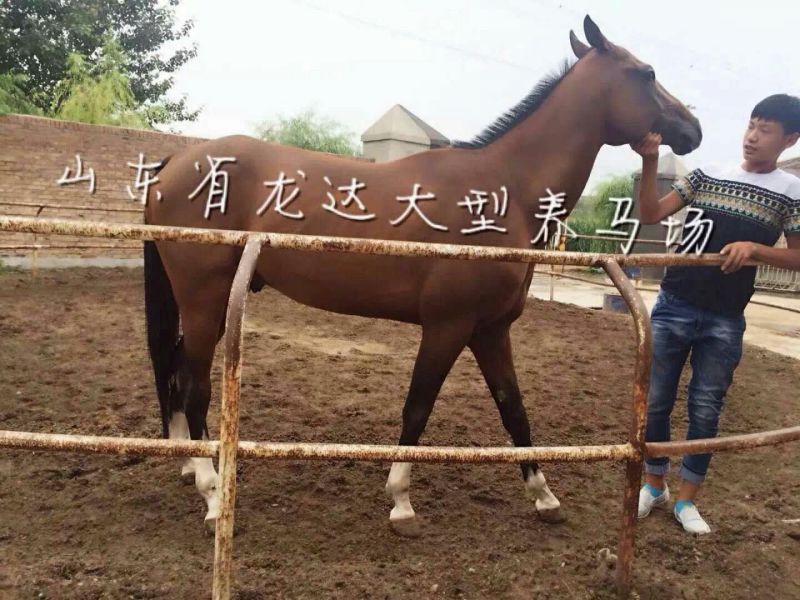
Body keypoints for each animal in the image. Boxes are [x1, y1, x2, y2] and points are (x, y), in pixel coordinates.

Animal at [143, 15, 701, 535]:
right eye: (646, 73)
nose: (693, 129)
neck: (504, 193)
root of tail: (176, 162)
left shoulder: (490, 330)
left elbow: (513, 409)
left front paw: (544, 496)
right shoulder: (447, 326)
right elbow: (418, 407)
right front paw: (401, 501)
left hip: (209, 305)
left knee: (175, 369)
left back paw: (189, 467)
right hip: (205, 300)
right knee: (193, 384)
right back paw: (212, 494)